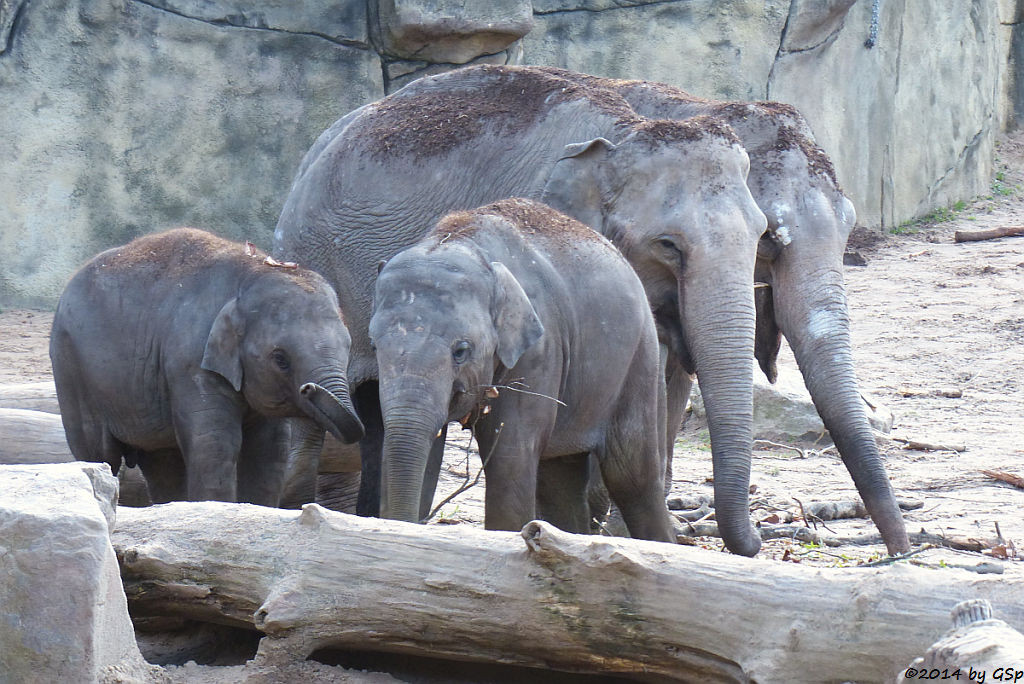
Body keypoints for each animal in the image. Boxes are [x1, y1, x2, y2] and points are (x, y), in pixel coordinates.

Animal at [51, 228, 366, 501]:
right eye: (280, 359)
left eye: (348, 347)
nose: (308, 388)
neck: (253, 271)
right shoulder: (191, 362)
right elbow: (215, 444)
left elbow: (270, 449)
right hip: (71, 369)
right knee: (98, 452)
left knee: (163, 461)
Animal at [372, 194, 675, 540]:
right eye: (374, 346)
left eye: (461, 351)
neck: (463, 241)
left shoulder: (539, 350)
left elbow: (510, 459)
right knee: (559, 478)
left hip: (640, 359)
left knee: (633, 477)